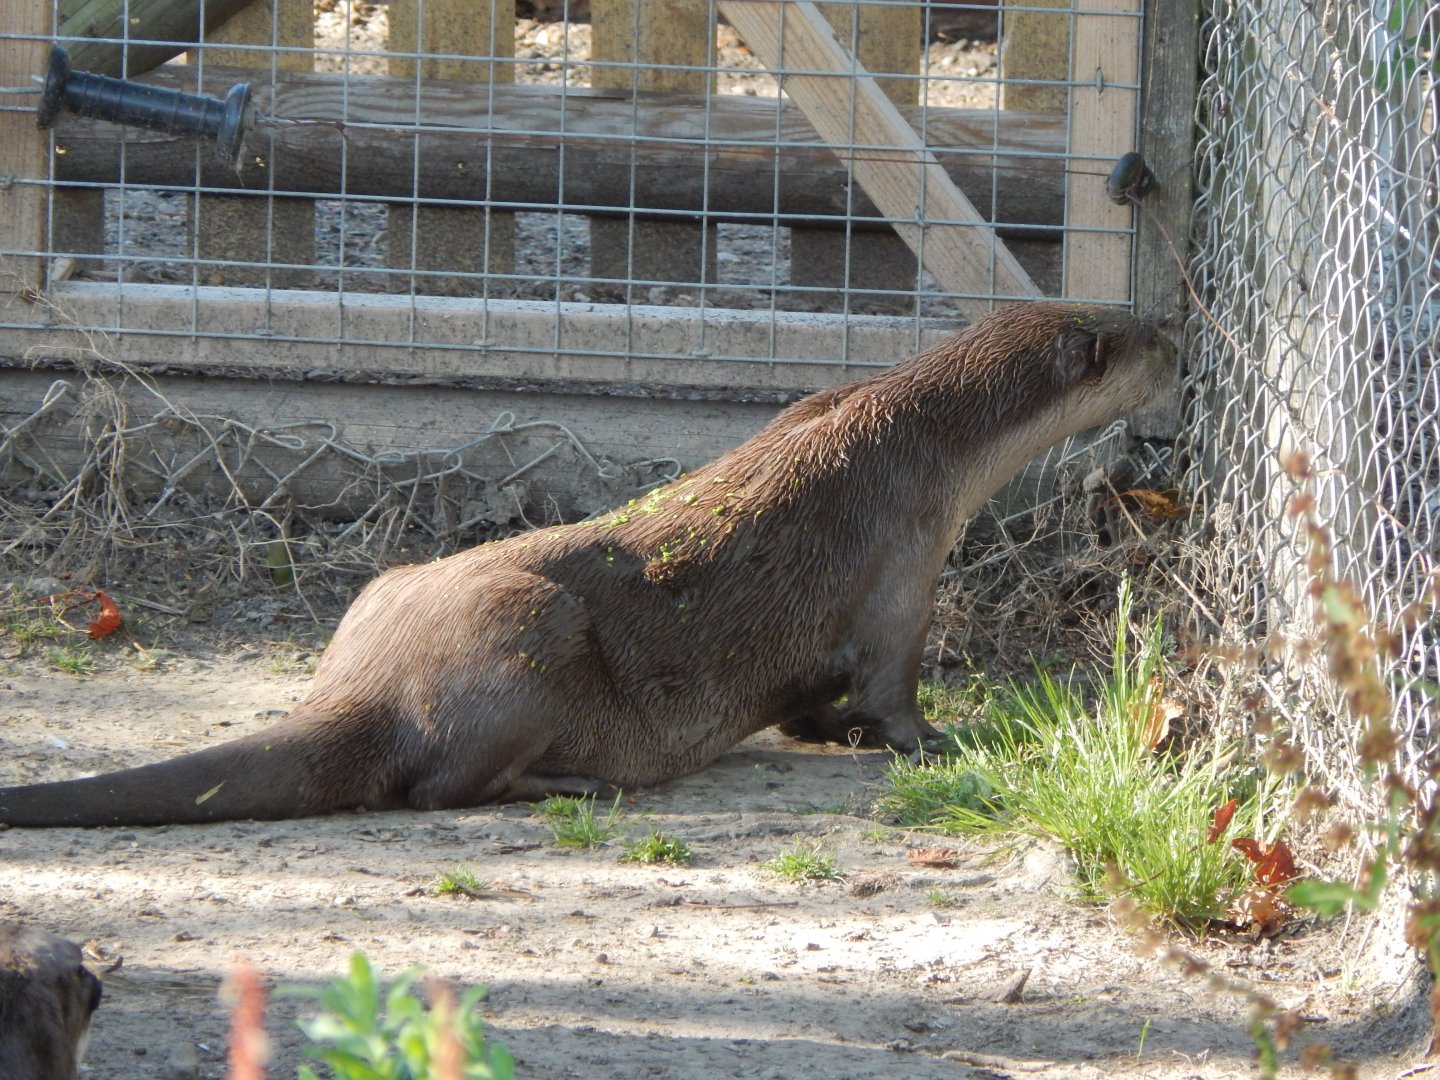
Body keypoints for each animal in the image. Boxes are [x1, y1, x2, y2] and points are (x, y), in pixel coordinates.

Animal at [0, 303, 1167, 828]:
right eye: (1147, 338)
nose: (1178, 324)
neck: (926, 439)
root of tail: (371, 682)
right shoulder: (903, 561)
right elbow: (893, 691)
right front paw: (946, 738)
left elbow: (808, 702)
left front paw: (823, 728)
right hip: (526, 641)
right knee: (436, 789)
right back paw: (576, 781)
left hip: (388, 596)